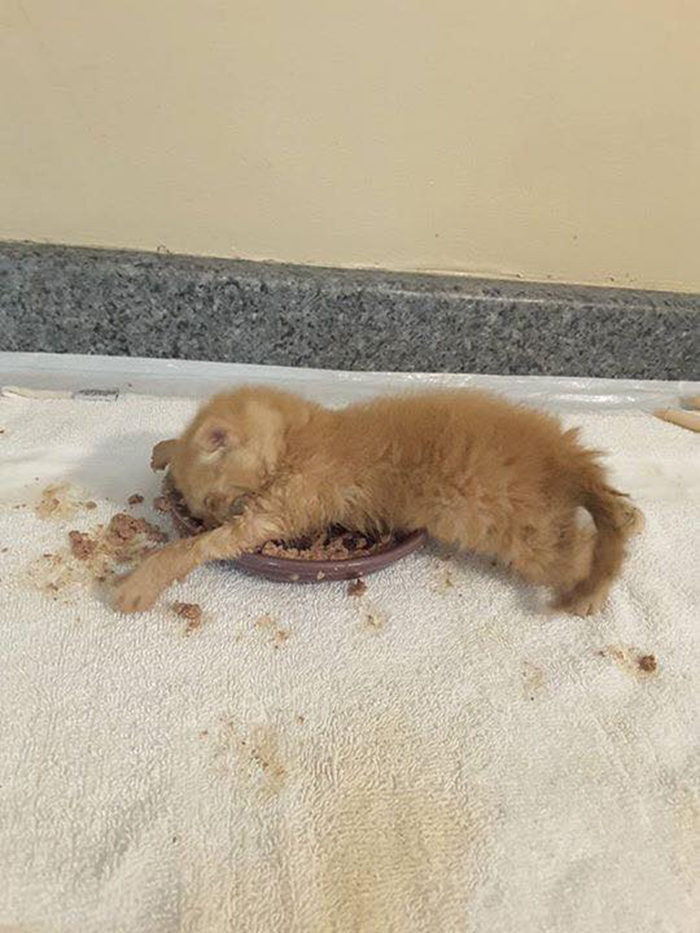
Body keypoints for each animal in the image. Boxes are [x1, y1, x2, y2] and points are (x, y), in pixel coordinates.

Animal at [112, 382, 644, 616]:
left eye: (216, 503)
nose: (204, 515)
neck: (302, 434)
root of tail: (565, 455)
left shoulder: (285, 504)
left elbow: (198, 548)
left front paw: (140, 581)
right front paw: (166, 448)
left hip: (524, 536)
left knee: (582, 554)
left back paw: (596, 590)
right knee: (608, 519)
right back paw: (631, 516)